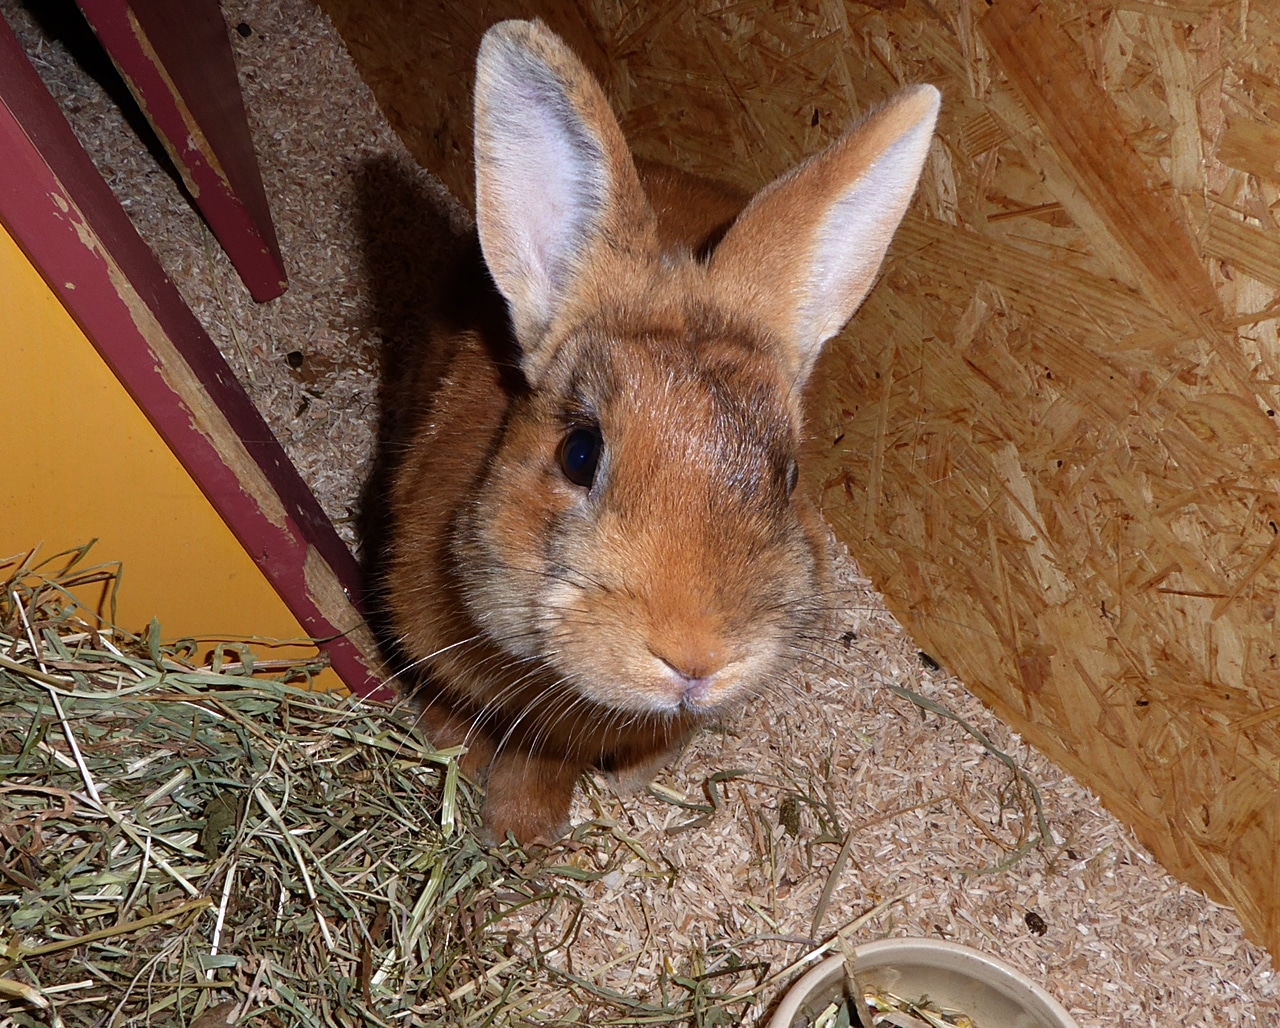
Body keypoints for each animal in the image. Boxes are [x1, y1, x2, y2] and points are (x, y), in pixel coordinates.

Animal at [384, 20, 936, 850]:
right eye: (579, 452)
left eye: (788, 478)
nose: (696, 659)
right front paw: (458, 766)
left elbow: (543, 763)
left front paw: (522, 838)